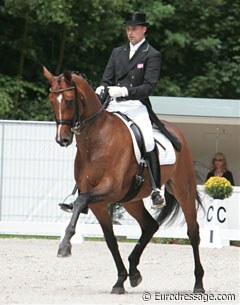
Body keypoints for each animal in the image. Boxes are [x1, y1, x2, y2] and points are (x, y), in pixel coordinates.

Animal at [42, 66, 204, 292]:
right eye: (51, 100)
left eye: (68, 100)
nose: (62, 139)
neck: (96, 140)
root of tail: (176, 132)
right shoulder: (99, 203)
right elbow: (110, 240)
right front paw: (120, 281)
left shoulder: (108, 189)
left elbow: (80, 202)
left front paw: (65, 246)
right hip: (131, 200)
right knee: (150, 226)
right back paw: (134, 272)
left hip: (184, 190)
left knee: (193, 232)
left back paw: (198, 284)